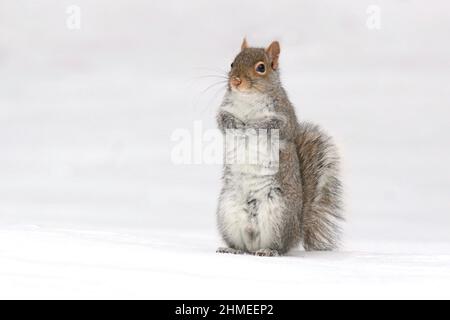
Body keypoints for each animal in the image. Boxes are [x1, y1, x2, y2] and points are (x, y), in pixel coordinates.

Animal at [216, 38, 342, 256]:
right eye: (232, 63)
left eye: (261, 68)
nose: (235, 81)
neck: (248, 98)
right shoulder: (224, 109)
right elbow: (222, 120)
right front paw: (235, 125)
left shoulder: (284, 116)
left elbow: (273, 127)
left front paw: (252, 127)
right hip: (227, 212)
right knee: (241, 245)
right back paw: (231, 249)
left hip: (279, 216)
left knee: (279, 246)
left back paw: (268, 251)